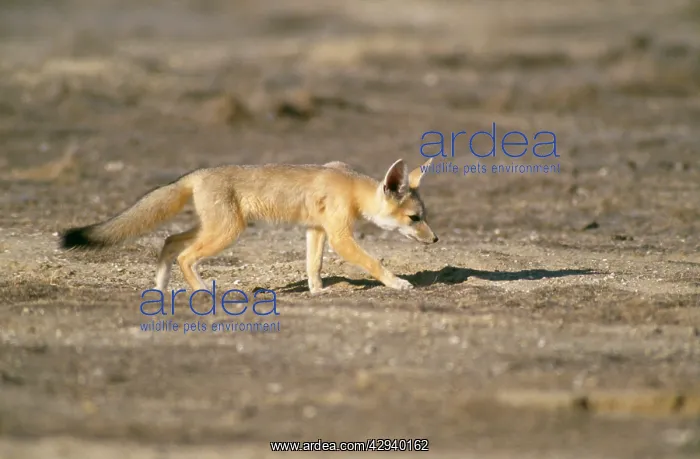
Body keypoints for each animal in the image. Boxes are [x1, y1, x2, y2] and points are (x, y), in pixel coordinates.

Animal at [59, 158, 438, 294]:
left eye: (424, 216)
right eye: (415, 218)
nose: (435, 239)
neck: (350, 186)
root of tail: (197, 173)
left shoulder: (316, 231)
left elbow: (313, 265)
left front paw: (317, 291)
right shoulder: (340, 236)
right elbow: (374, 262)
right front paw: (397, 283)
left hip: (215, 229)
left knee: (169, 241)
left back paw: (161, 286)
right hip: (226, 233)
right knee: (185, 256)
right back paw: (202, 291)